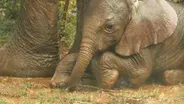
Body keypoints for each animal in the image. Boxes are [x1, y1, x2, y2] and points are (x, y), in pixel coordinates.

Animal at [50, 0, 184, 89]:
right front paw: (57, 82)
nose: (68, 87)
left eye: (109, 26)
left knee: (166, 76)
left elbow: (140, 70)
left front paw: (108, 79)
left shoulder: (146, 34)